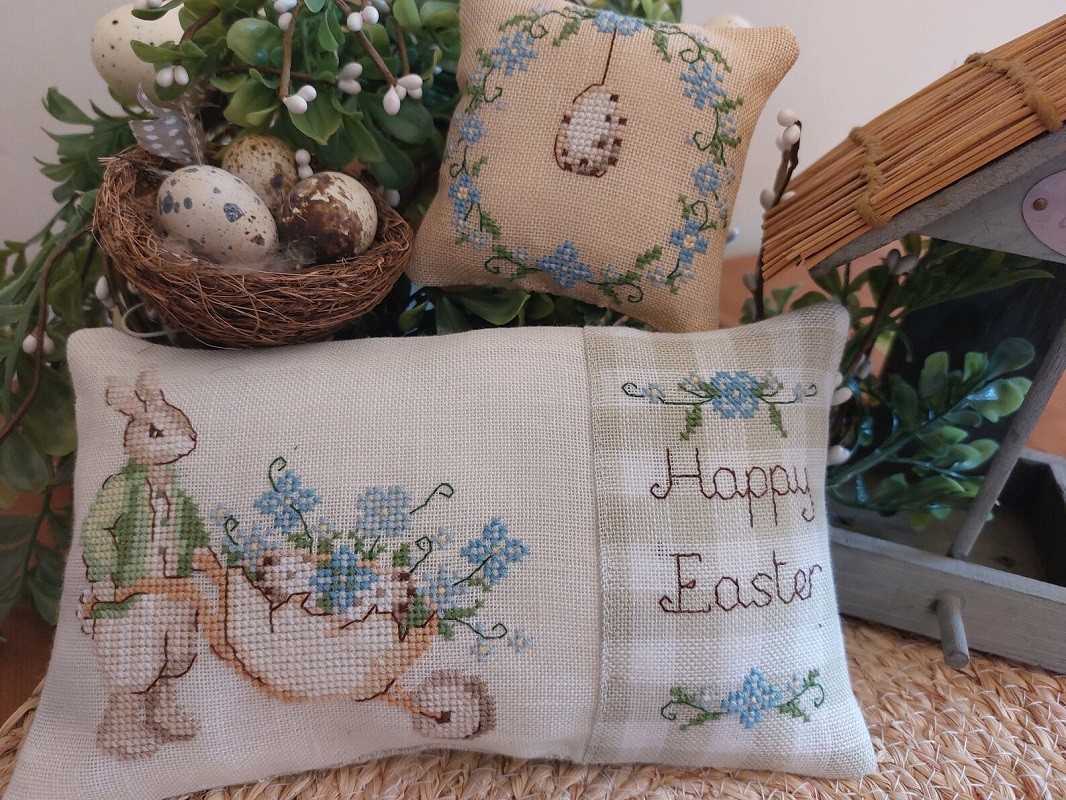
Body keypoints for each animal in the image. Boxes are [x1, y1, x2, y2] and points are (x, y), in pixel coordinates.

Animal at [77, 371, 209, 760]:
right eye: (154, 432)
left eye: (179, 414)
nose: (193, 437)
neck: (158, 479)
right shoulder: (116, 492)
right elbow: (97, 528)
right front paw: (106, 585)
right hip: (131, 639)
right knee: (134, 683)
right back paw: (128, 742)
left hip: (179, 629)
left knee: (169, 670)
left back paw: (171, 724)